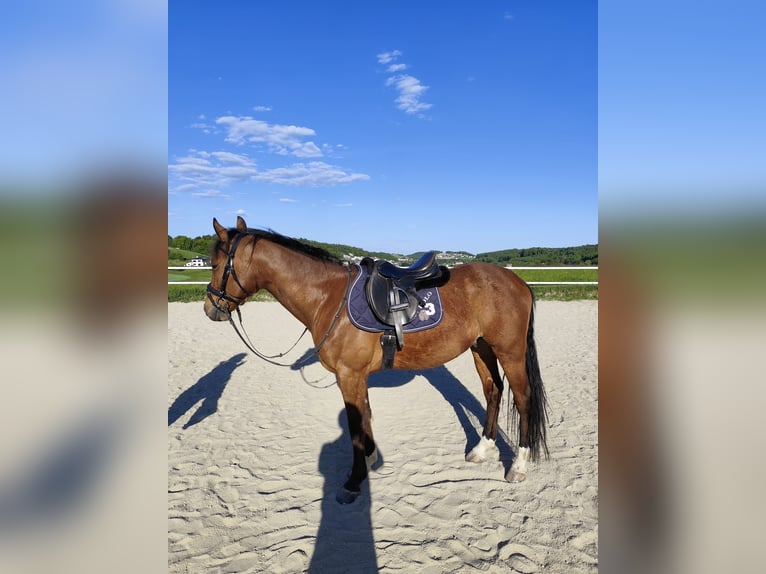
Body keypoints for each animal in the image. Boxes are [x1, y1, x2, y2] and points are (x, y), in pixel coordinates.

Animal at [204, 216, 549, 504]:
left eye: (216, 264)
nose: (210, 309)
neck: (329, 297)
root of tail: (517, 282)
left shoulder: (349, 375)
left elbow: (355, 426)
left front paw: (353, 481)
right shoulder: (357, 377)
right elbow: (366, 416)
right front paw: (370, 461)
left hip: (510, 352)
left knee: (523, 399)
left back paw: (518, 466)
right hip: (482, 348)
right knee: (493, 391)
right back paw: (482, 448)